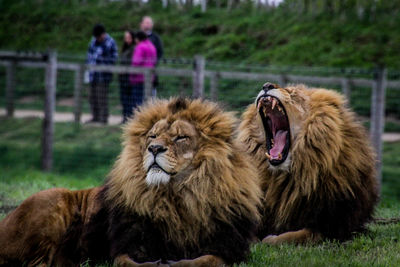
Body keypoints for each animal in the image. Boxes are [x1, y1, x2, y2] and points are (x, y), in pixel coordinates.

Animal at [0, 98, 262, 267]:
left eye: (181, 137)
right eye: (153, 136)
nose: (154, 148)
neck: (176, 197)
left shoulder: (227, 247)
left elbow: (204, 261)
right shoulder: (126, 244)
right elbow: (128, 262)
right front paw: (157, 264)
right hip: (51, 201)